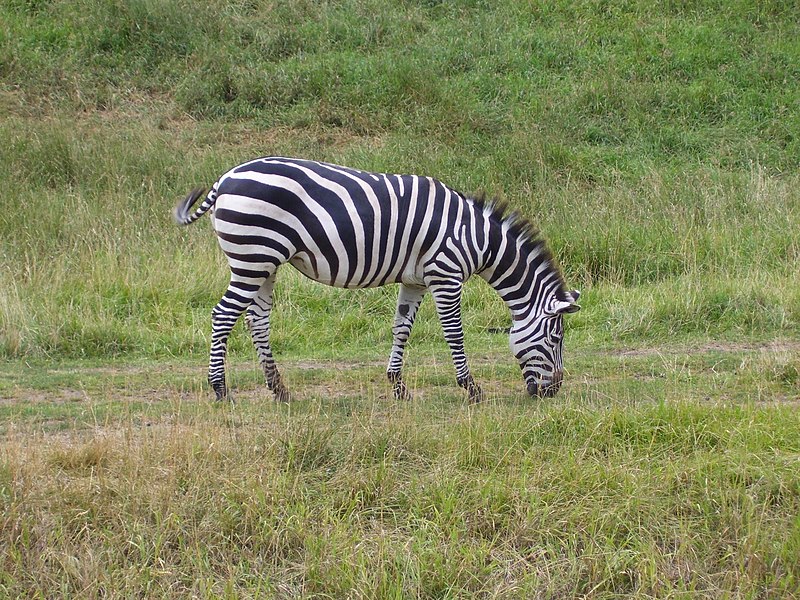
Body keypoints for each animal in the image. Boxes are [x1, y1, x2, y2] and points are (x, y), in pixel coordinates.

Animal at [173, 157, 580, 406]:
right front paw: (472, 389)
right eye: (555, 338)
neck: (478, 240)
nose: (553, 392)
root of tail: (226, 178)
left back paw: (280, 390)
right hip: (252, 256)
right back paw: (221, 391)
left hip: (264, 263)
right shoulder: (445, 275)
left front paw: (398, 386)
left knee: (257, 320)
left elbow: (402, 328)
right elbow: (454, 333)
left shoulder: (416, 280)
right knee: (223, 316)